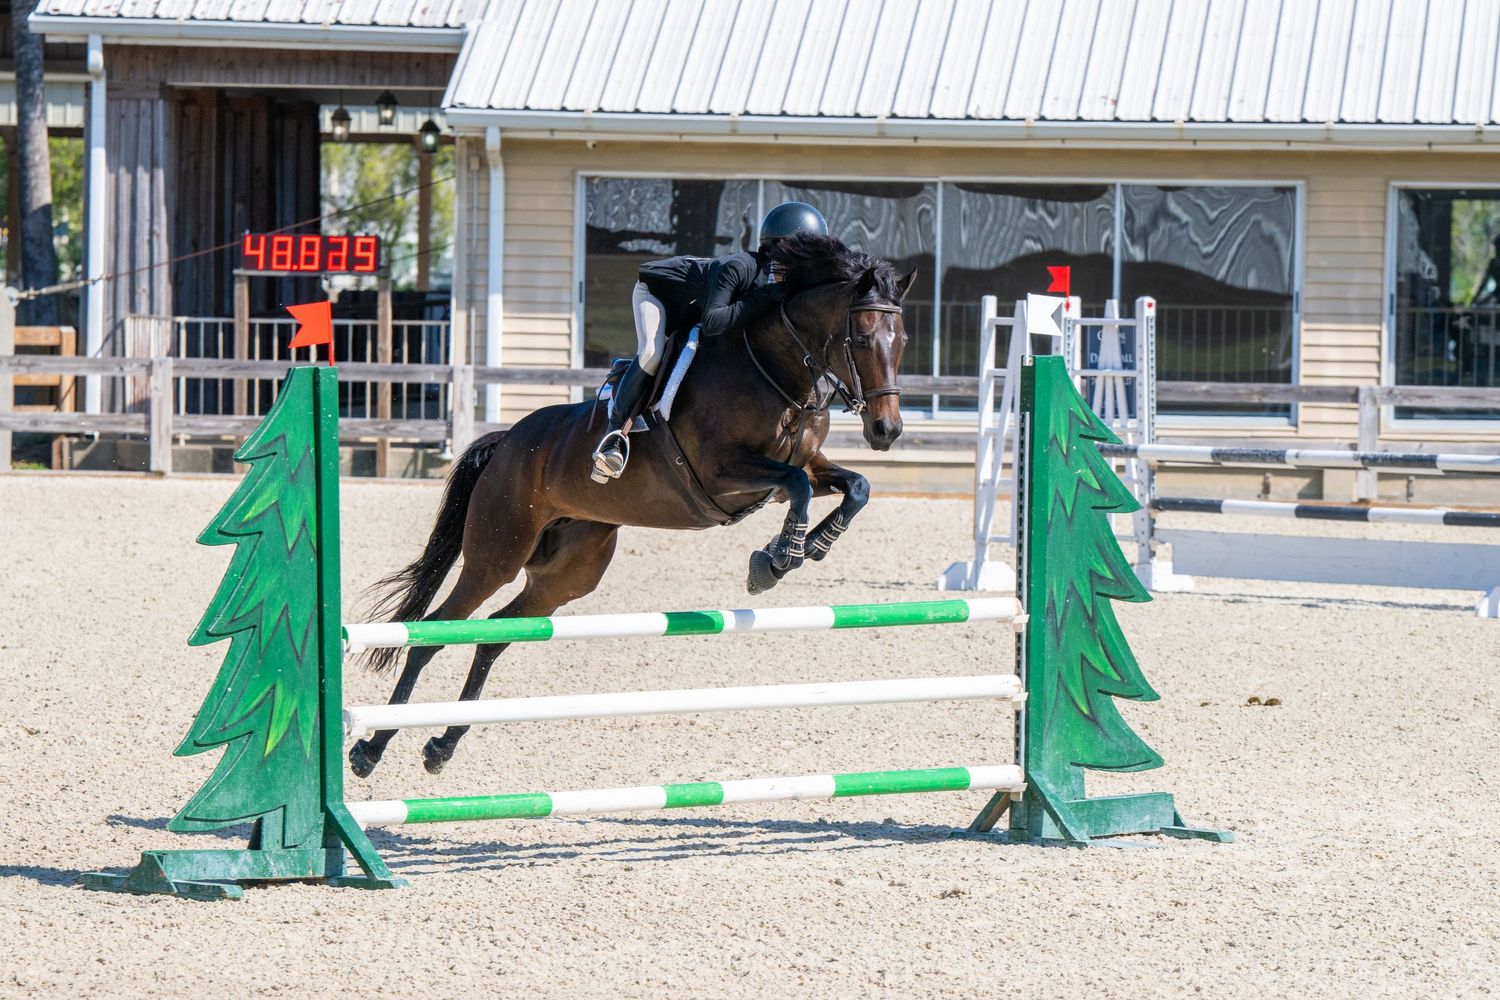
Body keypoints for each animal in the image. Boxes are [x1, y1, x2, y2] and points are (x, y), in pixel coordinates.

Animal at [349, 234, 916, 778]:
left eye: (904, 340)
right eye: (862, 337)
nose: (886, 431)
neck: (776, 370)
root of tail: (505, 441)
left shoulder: (801, 466)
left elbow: (855, 486)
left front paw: (807, 547)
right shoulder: (723, 472)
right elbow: (798, 485)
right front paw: (776, 560)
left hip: (566, 576)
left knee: (495, 636)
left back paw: (441, 747)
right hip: (496, 555)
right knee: (432, 635)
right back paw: (369, 752)